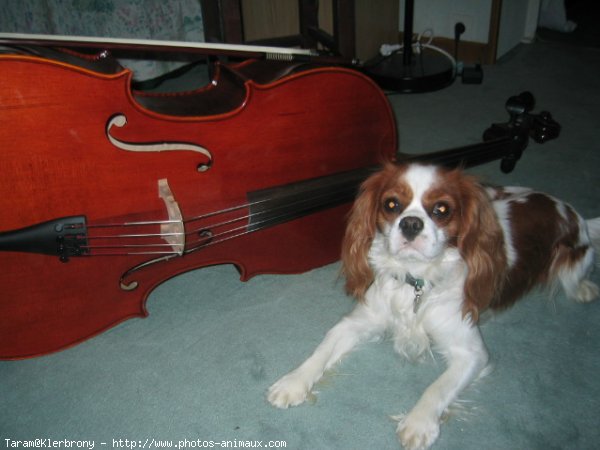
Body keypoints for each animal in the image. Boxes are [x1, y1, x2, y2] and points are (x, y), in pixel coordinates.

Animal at [268, 163, 600, 448]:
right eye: (391, 205)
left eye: (442, 209)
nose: (411, 223)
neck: (416, 280)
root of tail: (572, 212)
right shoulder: (360, 320)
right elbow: (322, 349)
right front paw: (293, 382)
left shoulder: (472, 353)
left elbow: (438, 387)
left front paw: (418, 424)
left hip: (570, 266)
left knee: (573, 280)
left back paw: (586, 289)